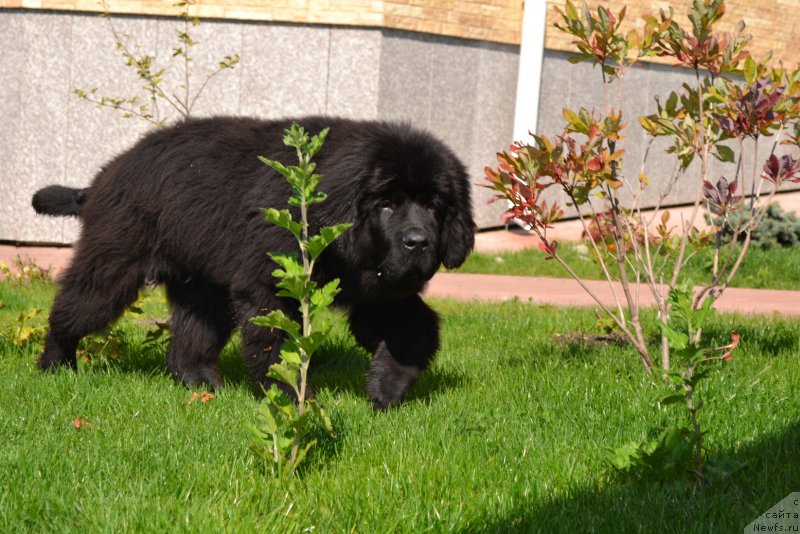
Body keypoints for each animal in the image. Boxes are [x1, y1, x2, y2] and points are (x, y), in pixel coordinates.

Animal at [31, 116, 476, 410]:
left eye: (434, 205)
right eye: (386, 204)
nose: (418, 242)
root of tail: (105, 173)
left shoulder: (380, 290)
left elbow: (415, 328)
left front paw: (388, 388)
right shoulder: (270, 285)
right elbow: (276, 346)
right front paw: (292, 400)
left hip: (203, 286)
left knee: (189, 341)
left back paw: (205, 384)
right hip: (114, 264)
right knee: (74, 309)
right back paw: (56, 365)